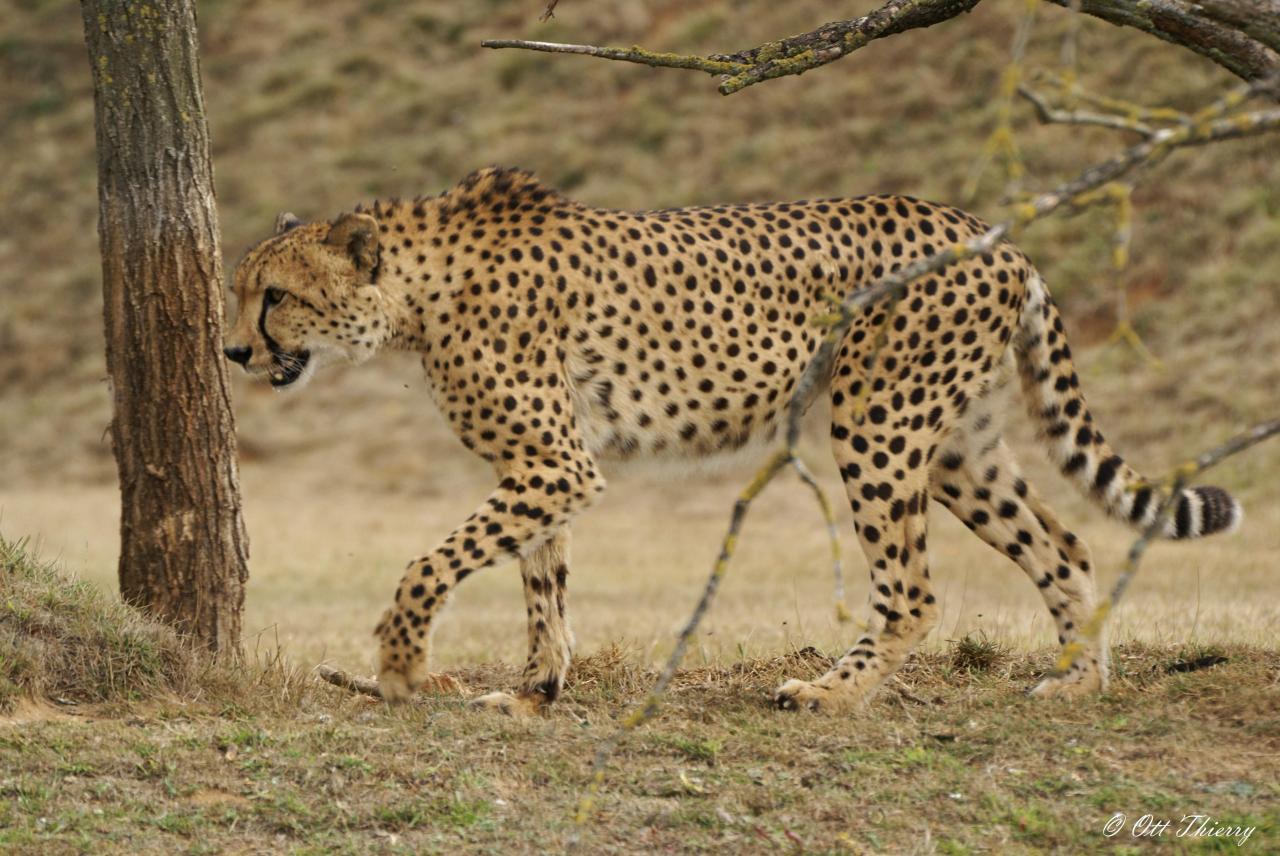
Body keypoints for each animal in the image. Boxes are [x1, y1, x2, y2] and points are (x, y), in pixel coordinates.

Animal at [222, 166, 1239, 716]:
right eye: (241, 292)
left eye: (275, 295)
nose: (233, 350)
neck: (416, 293)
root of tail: (990, 234)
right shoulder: (541, 468)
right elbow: (542, 585)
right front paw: (534, 691)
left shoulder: (556, 464)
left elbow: (431, 563)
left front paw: (400, 668)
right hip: (959, 446)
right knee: (1064, 548)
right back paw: (1077, 684)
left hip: (877, 421)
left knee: (913, 591)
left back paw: (830, 693)